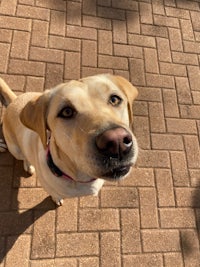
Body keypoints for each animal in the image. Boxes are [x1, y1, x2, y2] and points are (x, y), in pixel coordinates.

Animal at [0, 74, 138, 206]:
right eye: (66, 112)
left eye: (114, 99)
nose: (117, 142)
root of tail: (14, 101)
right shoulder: (49, 188)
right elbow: (55, 194)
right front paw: (57, 199)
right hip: (15, 149)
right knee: (23, 157)